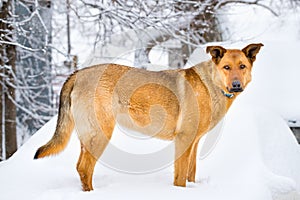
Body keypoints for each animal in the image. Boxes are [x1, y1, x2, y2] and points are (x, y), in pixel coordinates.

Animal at [33, 43, 262, 191]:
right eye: (226, 67)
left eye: (242, 66)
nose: (236, 85)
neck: (212, 84)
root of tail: (77, 74)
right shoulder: (184, 139)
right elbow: (180, 178)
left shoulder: (194, 143)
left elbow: (190, 174)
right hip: (101, 133)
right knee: (84, 168)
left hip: (89, 136)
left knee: (81, 167)